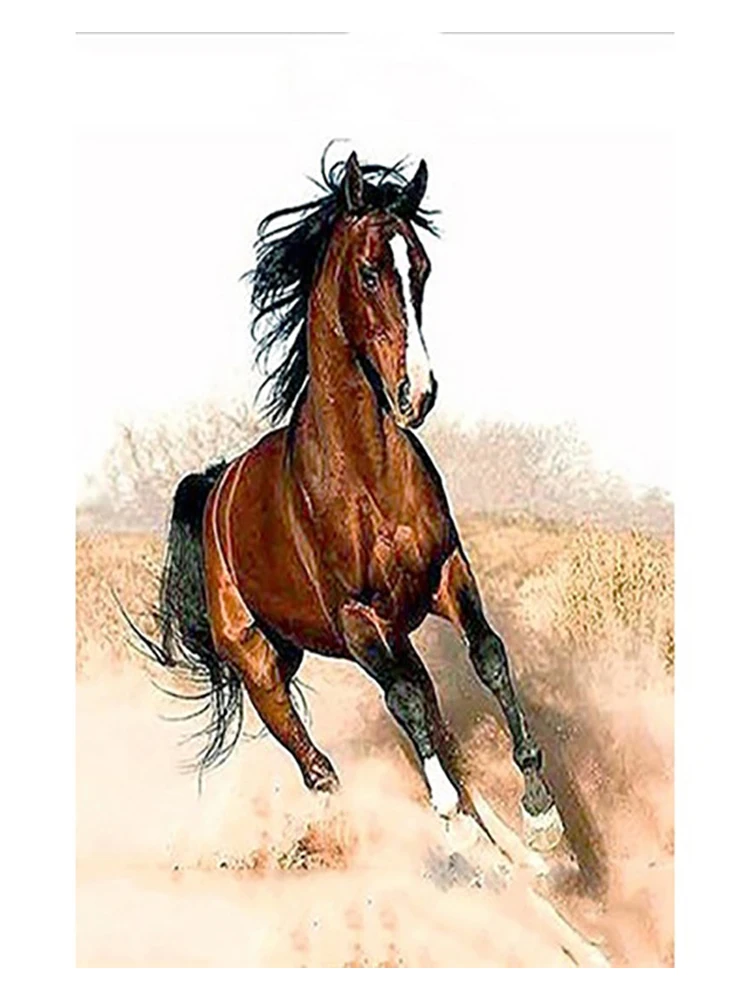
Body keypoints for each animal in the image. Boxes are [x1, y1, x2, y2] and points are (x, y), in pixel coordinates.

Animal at [144, 150, 563, 851]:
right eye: (370, 273)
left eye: (421, 268)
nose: (417, 393)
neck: (366, 476)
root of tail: (216, 487)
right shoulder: (356, 619)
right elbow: (406, 702)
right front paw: (450, 813)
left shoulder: (445, 574)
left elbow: (488, 657)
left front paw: (540, 809)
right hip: (262, 664)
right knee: (317, 761)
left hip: (375, 636)